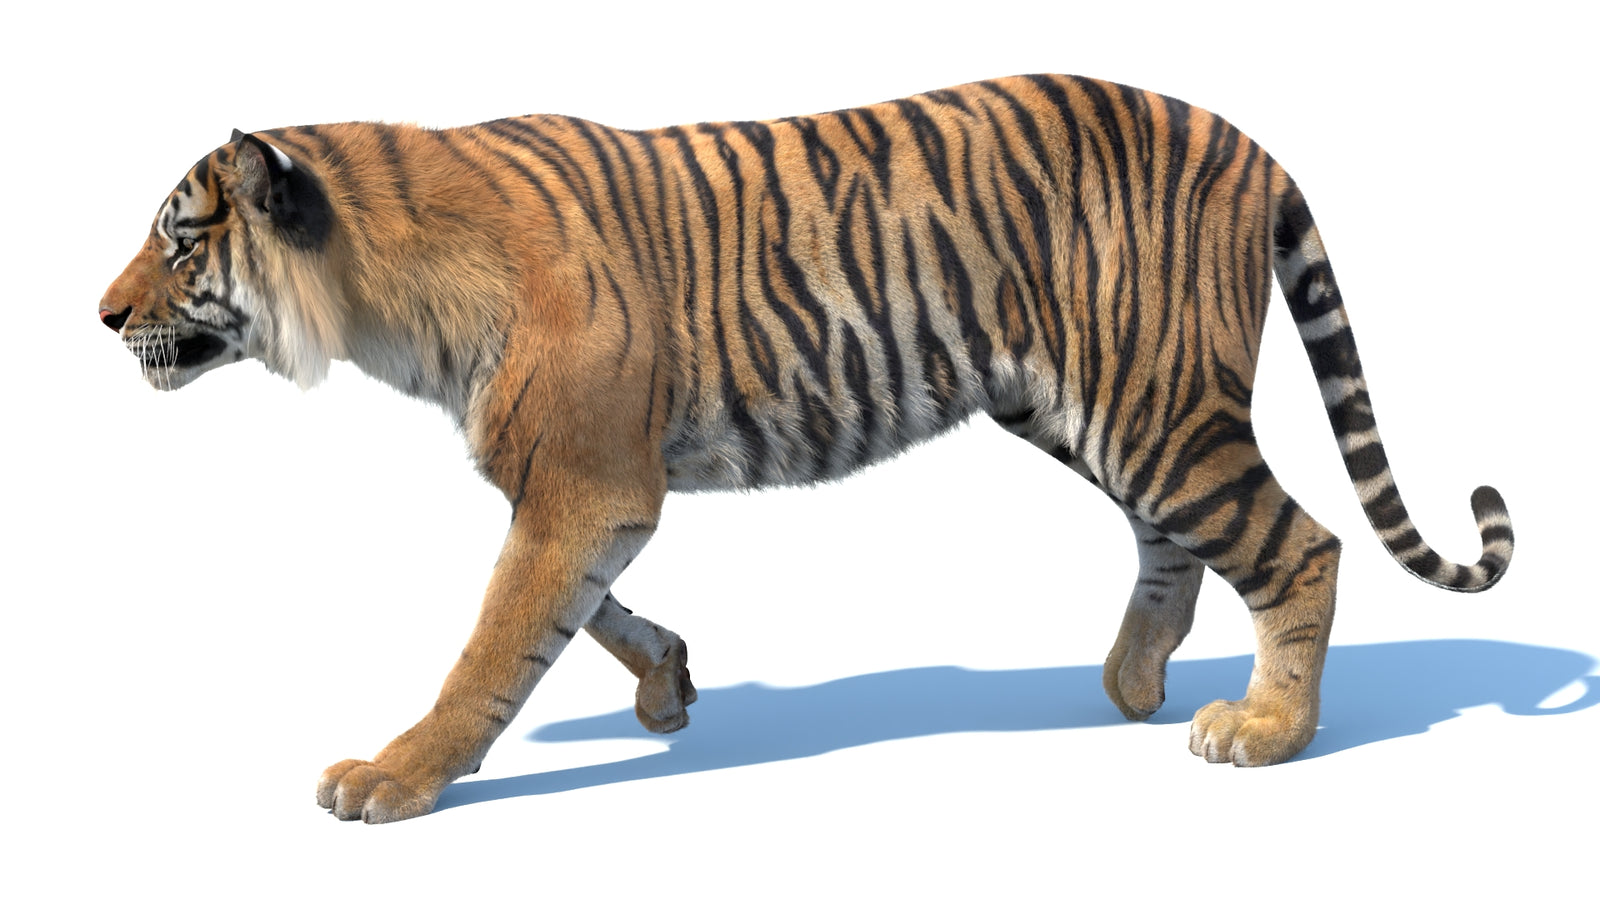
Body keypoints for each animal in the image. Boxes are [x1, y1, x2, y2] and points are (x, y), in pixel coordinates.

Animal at [98, 74, 1513, 823]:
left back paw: (1264, 729)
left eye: (180, 240)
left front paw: (392, 777)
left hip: (1157, 403)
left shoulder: (584, 482)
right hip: (1091, 406)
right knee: (1173, 539)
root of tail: (1247, 137)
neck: (380, 295)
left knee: (1301, 543)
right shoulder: (584, 489)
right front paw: (669, 683)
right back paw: (1130, 681)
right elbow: (580, 611)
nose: (101, 316)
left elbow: (494, 643)